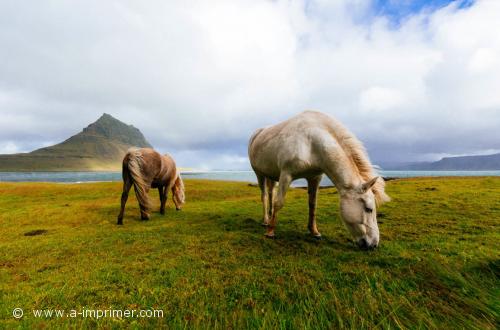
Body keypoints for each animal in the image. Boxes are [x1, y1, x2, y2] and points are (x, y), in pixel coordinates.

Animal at [248, 111, 388, 250]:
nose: (374, 244)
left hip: (271, 176)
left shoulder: (315, 178)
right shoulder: (286, 175)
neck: (311, 142)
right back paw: (266, 221)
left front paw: (314, 231)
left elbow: (313, 205)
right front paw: (270, 232)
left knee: (271, 193)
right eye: (369, 209)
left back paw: (270, 215)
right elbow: (279, 203)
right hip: (259, 174)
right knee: (265, 196)